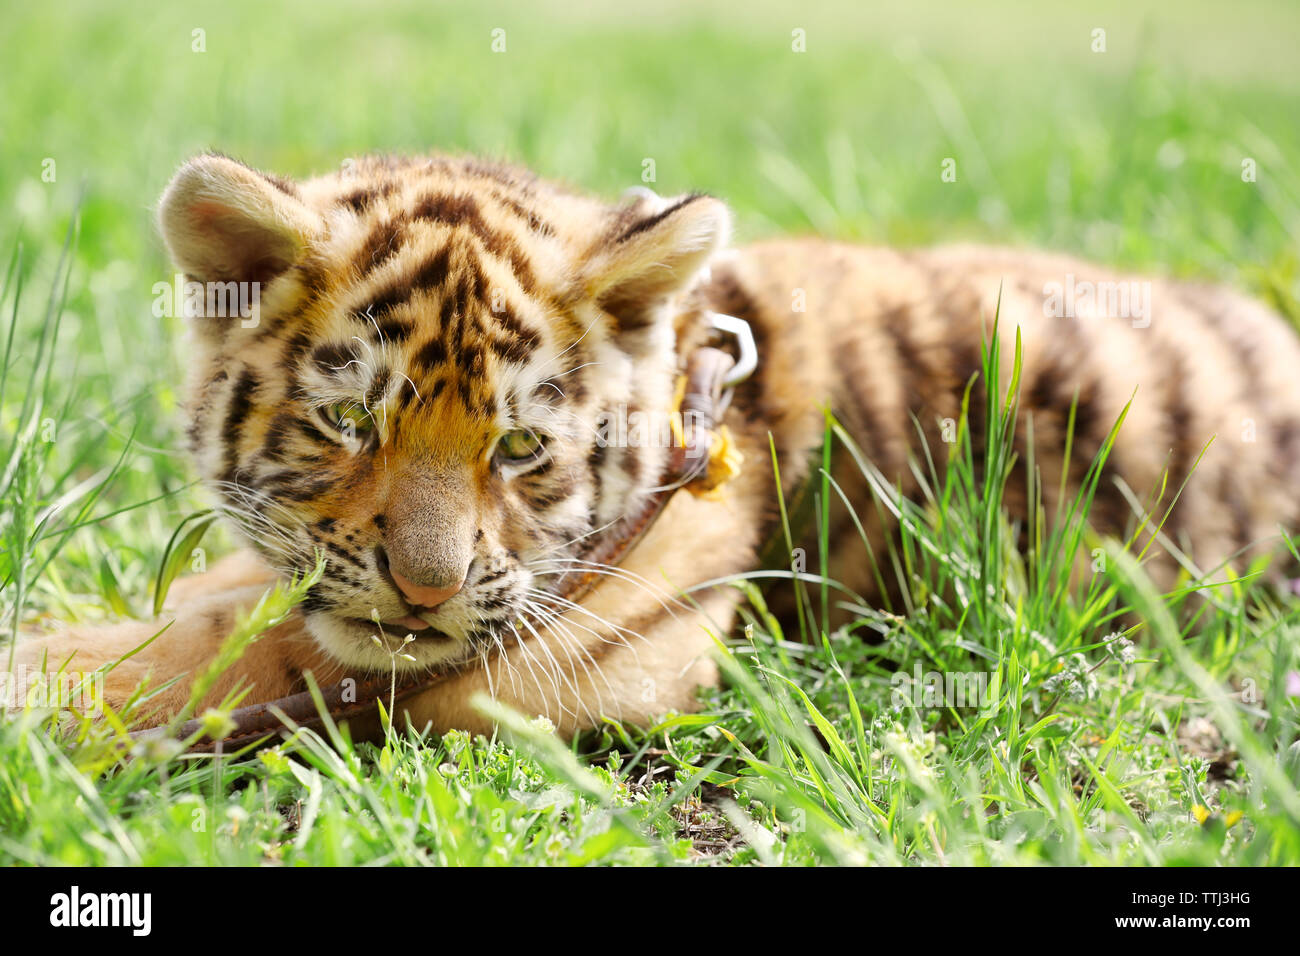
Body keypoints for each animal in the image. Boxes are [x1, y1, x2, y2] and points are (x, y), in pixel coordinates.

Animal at [12, 151, 1300, 738]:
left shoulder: (584, 655)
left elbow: (256, 643)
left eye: (520, 446)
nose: (423, 587)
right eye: (348, 422)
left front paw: (41, 676)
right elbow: (235, 600)